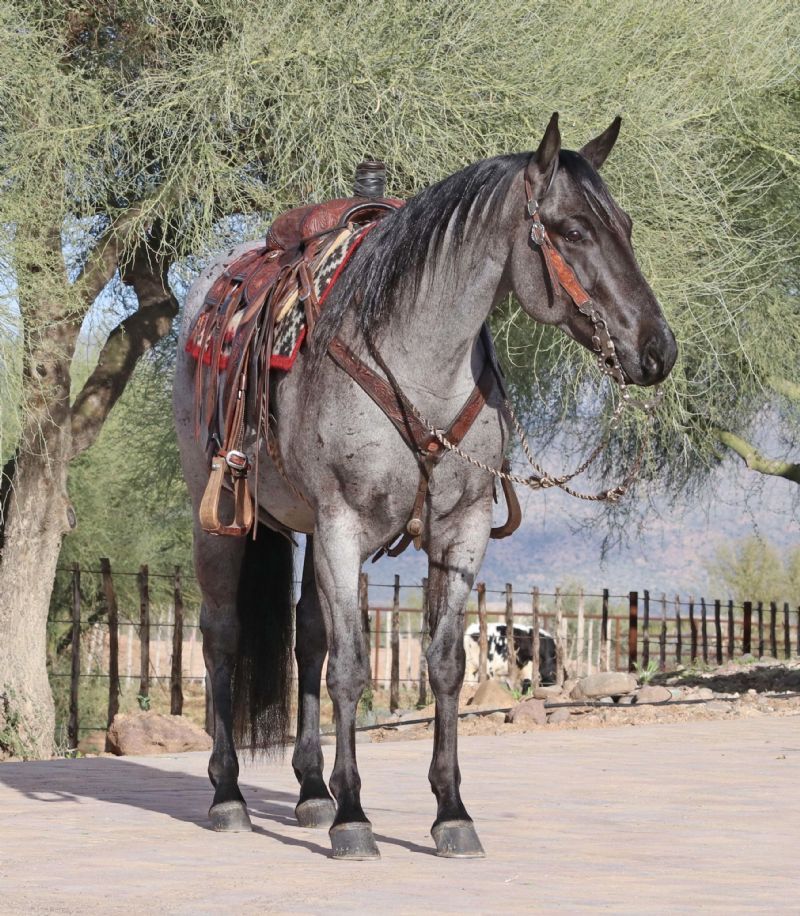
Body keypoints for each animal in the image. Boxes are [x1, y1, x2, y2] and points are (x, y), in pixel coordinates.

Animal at [173, 113, 677, 860]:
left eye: (627, 225)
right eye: (573, 230)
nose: (656, 348)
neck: (418, 362)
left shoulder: (459, 531)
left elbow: (441, 664)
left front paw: (450, 812)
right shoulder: (344, 525)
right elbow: (352, 668)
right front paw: (355, 819)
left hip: (310, 532)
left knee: (307, 637)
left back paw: (312, 793)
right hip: (223, 520)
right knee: (223, 637)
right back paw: (230, 796)